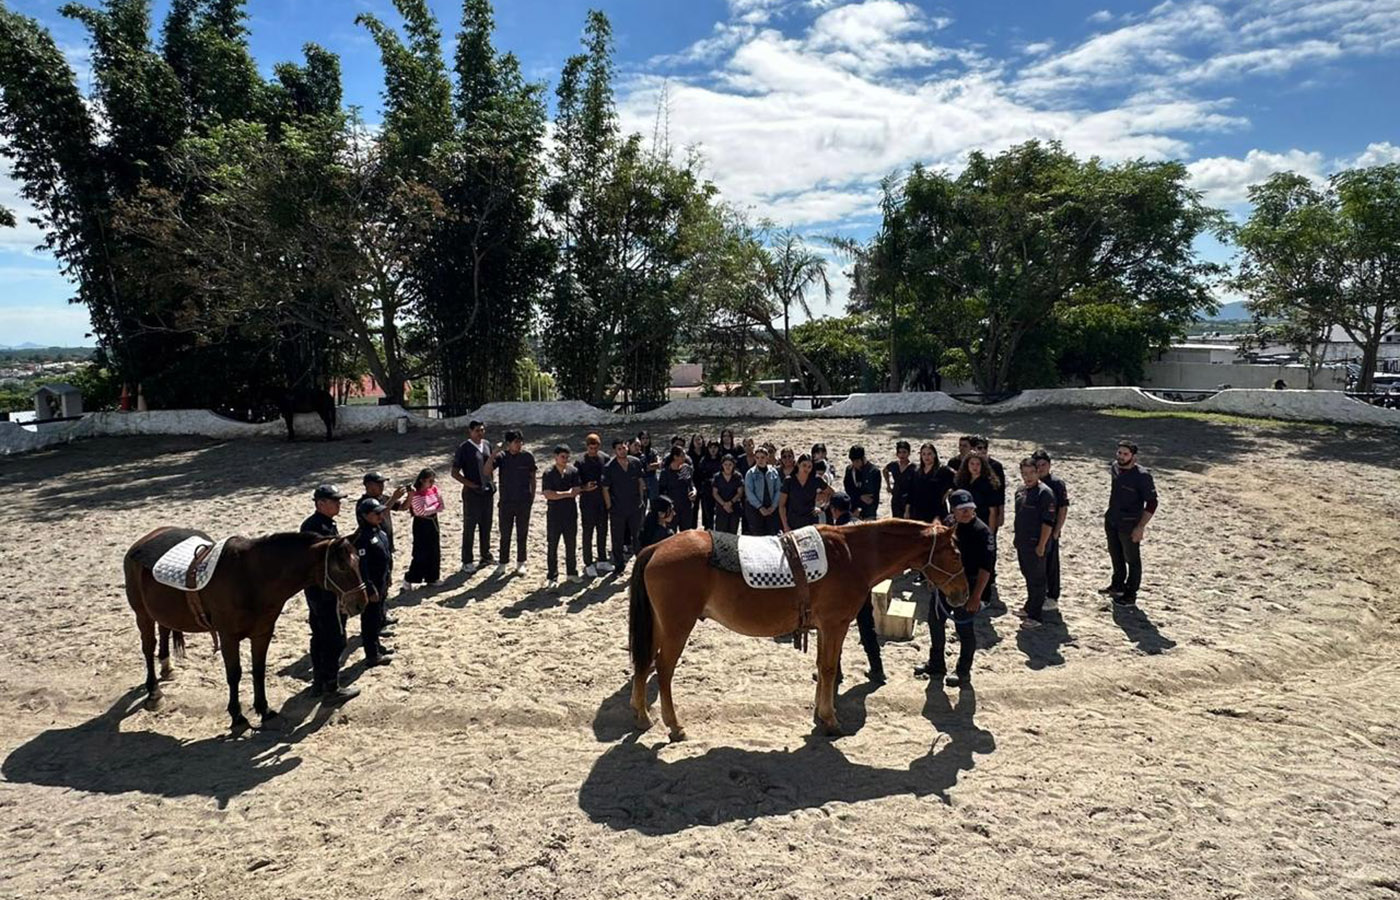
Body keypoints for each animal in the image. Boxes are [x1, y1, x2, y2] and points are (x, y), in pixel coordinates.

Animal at [123, 529, 369, 733]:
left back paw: (167, 669)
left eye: (359, 560)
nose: (361, 603)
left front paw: (265, 710)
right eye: (341, 566)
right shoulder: (228, 638)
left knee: (164, 630)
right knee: (148, 649)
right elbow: (234, 674)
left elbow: (258, 670)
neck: (250, 578)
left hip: (161, 611)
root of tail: (141, 542)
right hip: (142, 615)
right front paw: (238, 717)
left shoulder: (262, 633)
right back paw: (154, 694)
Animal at [630, 517, 968, 744]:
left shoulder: (822, 627)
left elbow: (822, 666)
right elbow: (829, 669)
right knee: (663, 669)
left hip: (660, 625)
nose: (963, 594)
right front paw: (830, 720)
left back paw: (642, 717)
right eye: (956, 553)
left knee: (643, 663)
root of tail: (657, 547)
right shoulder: (835, 624)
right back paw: (674, 726)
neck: (851, 556)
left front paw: (820, 713)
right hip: (677, 627)